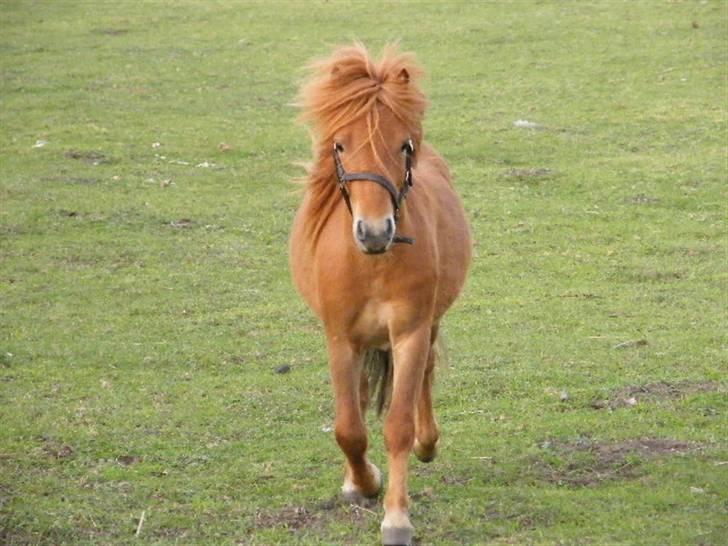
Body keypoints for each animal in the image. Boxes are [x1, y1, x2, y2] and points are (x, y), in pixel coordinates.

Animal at [289, 43, 471, 546]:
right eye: (339, 145)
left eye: (403, 145)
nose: (374, 231)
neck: (371, 264)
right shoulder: (340, 340)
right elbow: (349, 429)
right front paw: (364, 483)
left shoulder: (409, 332)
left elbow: (397, 425)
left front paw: (396, 518)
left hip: (428, 324)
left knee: (425, 375)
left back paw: (428, 443)